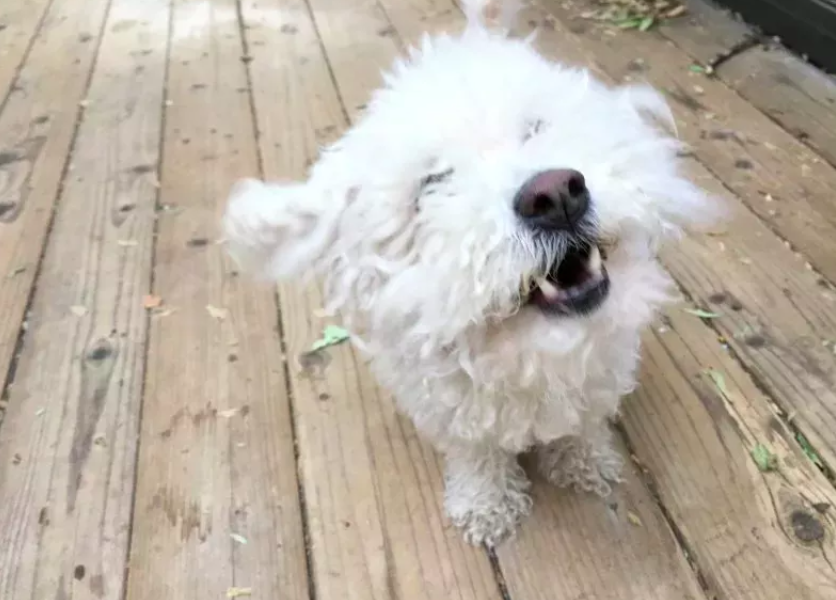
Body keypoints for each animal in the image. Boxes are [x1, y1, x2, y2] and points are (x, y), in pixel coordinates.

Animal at [222, 0, 720, 548]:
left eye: (535, 128)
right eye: (432, 183)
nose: (555, 194)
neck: (532, 355)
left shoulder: (599, 379)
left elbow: (583, 426)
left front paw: (586, 462)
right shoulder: (450, 413)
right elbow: (478, 455)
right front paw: (487, 506)